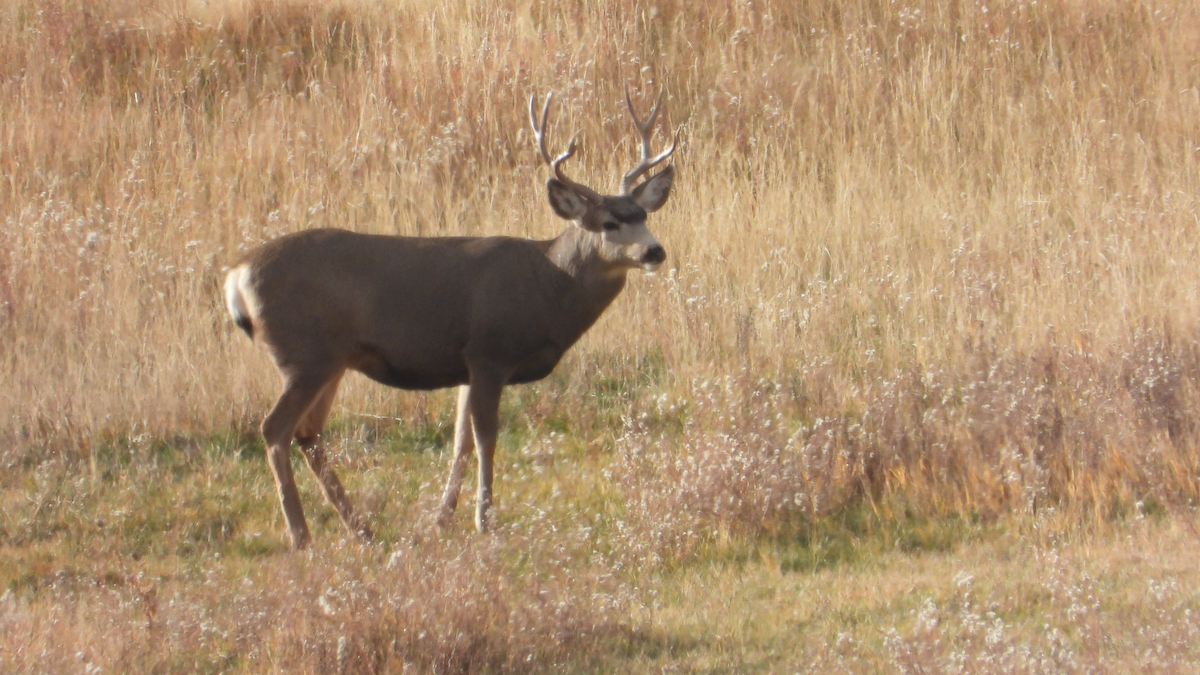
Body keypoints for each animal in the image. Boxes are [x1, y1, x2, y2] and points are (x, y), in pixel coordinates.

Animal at [223, 88, 678, 549]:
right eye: (609, 222)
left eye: (643, 215)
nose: (654, 251)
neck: (548, 284)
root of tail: (236, 275)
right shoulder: (490, 351)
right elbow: (485, 438)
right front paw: (485, 519)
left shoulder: (466, 365)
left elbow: (460, 441)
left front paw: (443, 518)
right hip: (304, 353)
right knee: (274, 429)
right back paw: (301, 536)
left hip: (331, 360)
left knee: (307, 432)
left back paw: (361, 529)